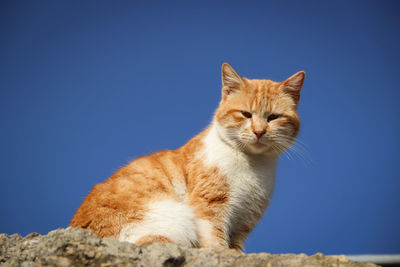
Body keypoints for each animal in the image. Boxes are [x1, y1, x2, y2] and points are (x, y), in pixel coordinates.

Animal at [70, 63, 304, 252]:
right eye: (245, 114)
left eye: (273, 117)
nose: (259, 131)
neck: (254, 165)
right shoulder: (209, 206)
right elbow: (216, 241)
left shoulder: (244, 221)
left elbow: (236, 247)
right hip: (174, 217)